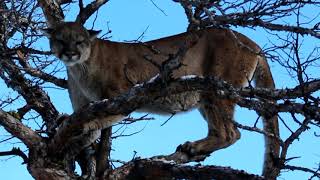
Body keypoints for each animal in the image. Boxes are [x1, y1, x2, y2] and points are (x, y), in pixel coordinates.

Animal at [43, 21, 280, 178]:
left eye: (79, 41)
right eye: (60, 40)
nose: (70, 53)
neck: (80, 68)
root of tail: (252, 42)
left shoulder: (120, 98)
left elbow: (97, 122)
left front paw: (71, 127)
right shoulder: (85, 105)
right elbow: (93, 130)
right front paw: (73, 136)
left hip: (215, 90)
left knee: (230, 133)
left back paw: (192, 148)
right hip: (205, 97)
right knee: (227, 131)